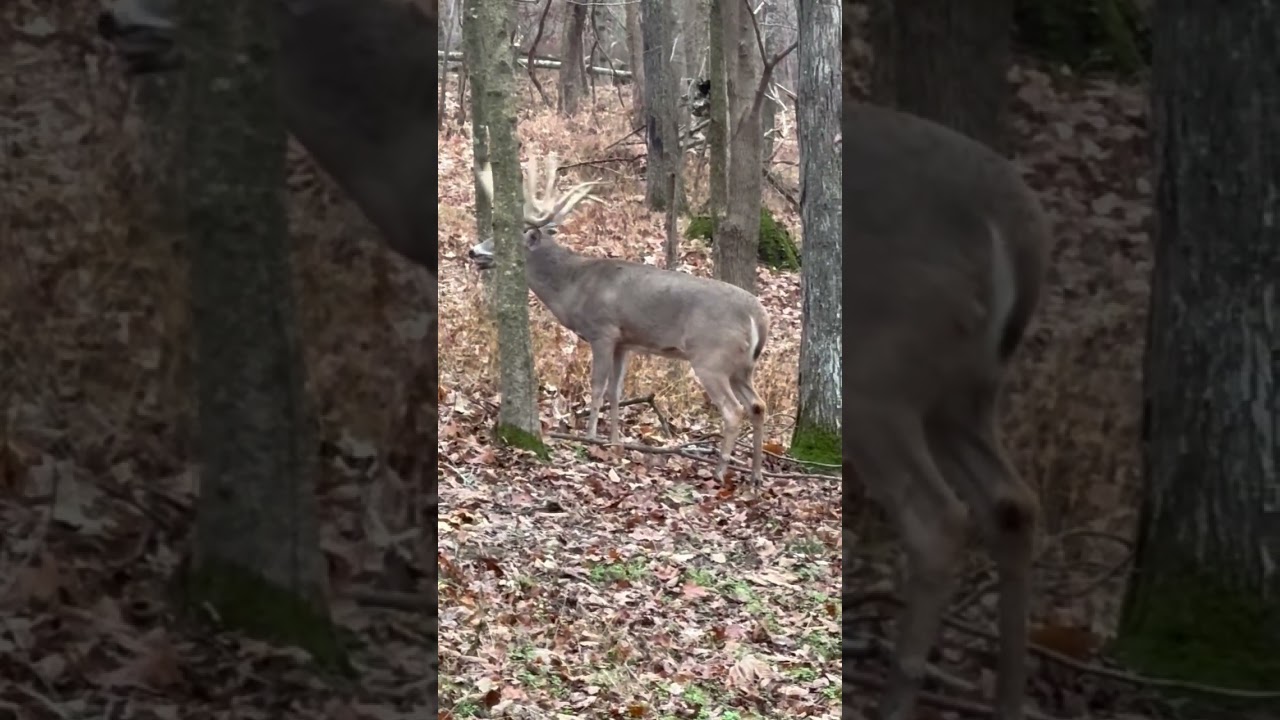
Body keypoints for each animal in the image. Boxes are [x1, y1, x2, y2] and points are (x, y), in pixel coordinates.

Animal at [467, 154, 770, 488]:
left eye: (502, 235)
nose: (473, 251)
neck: (573, 286)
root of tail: (758, 317)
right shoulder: (625, 341)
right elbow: (616, 390)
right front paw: (615, 440)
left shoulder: (603, 331)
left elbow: (598, 385)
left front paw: (590, 437)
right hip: (742, 367)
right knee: (758, 405)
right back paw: (755, 475)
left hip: (711, 358)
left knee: (734, 410)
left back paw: (720, 470)